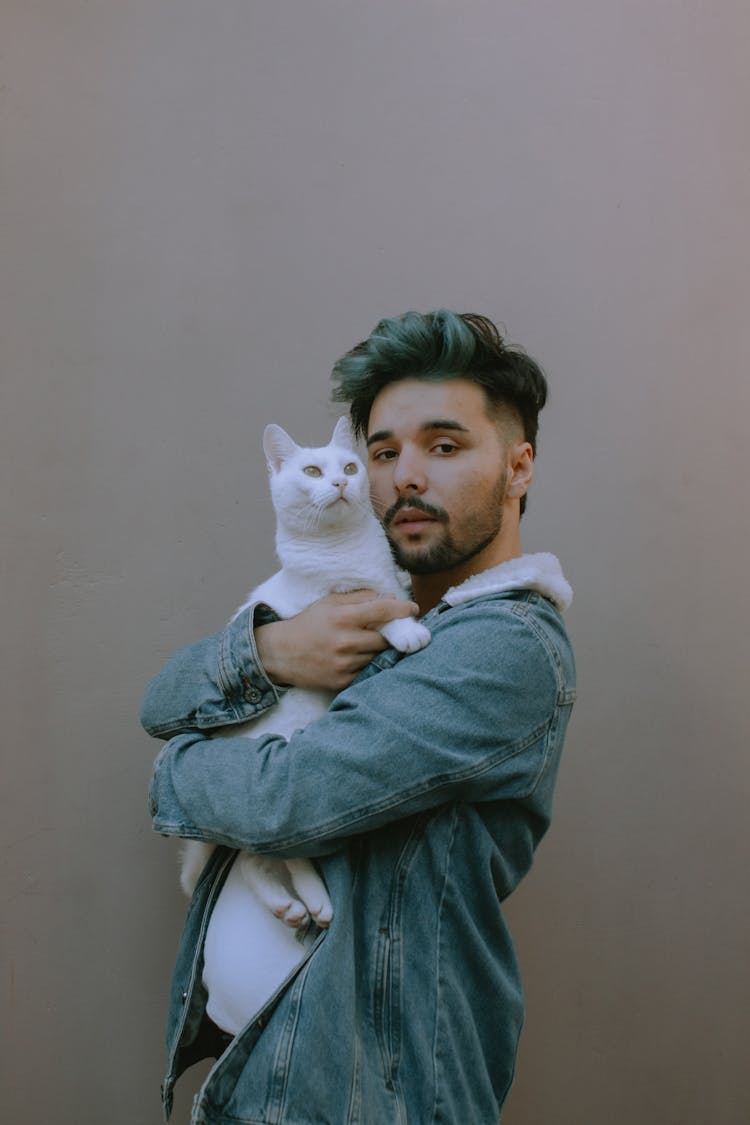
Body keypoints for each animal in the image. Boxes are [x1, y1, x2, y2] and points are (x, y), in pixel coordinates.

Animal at [178, 416, 431, 931]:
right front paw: (406, 630)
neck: (345, 549)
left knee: (253, 860)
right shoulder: (336, 601)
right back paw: (314, 901)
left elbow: (395, 589)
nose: (339, 483)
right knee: (283, 848)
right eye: (312, 471)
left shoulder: (387, 578)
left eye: (350, 466)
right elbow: (378, 610)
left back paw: (287, 906)